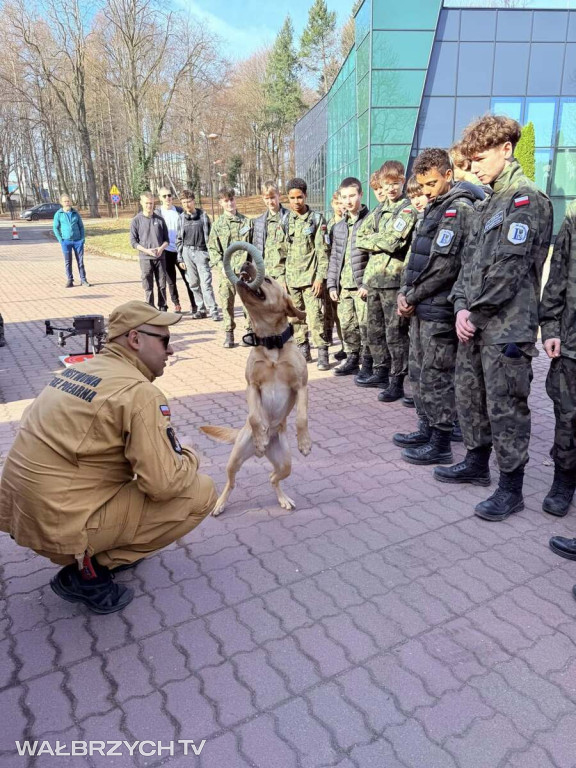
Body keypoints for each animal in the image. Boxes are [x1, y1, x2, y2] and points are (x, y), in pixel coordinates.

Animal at [201, 262, 310, 516]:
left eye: (268, 280)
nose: (246, 262)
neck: (271, 343)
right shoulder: (252, 386)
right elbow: (254, 416)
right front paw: (260, 434)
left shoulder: (301, 386)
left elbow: (302, 417)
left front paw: (305, 443)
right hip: (235, 459)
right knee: (231, 483)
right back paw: (220, 503)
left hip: (285, 463)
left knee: (273, 477)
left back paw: (283, 498)